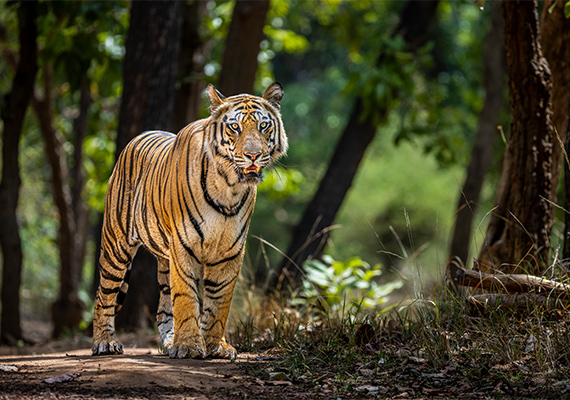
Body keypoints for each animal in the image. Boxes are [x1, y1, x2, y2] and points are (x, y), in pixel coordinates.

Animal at [93, 82, 288, 360]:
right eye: (234, 127)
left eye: (263, 126)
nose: (253, 155)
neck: (228, 187)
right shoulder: (183, 246)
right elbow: (186, 297)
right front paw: (188, 346)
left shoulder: (230, 250)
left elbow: (219, 301)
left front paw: (215, 346)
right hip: (116, 247)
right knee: (104, 297)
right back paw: (104, 343)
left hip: (164, 258)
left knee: (163, 308)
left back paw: (168, 343)